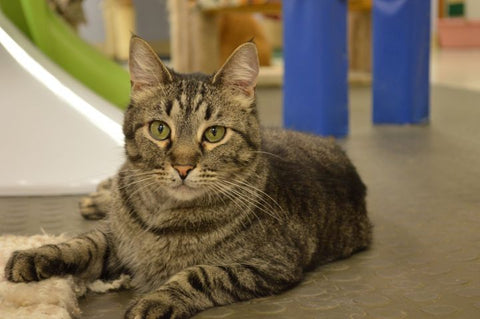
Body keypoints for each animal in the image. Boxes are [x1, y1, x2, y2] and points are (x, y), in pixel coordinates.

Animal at [4, 35, 372, 319]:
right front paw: (38, 254)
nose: (182, 167)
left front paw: (156, 299)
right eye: (159, 129)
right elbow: (84, 242)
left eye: (214, 134)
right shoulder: (116, 237)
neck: (162, 213)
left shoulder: (269, 263)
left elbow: (199, 273)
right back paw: (97, 197)